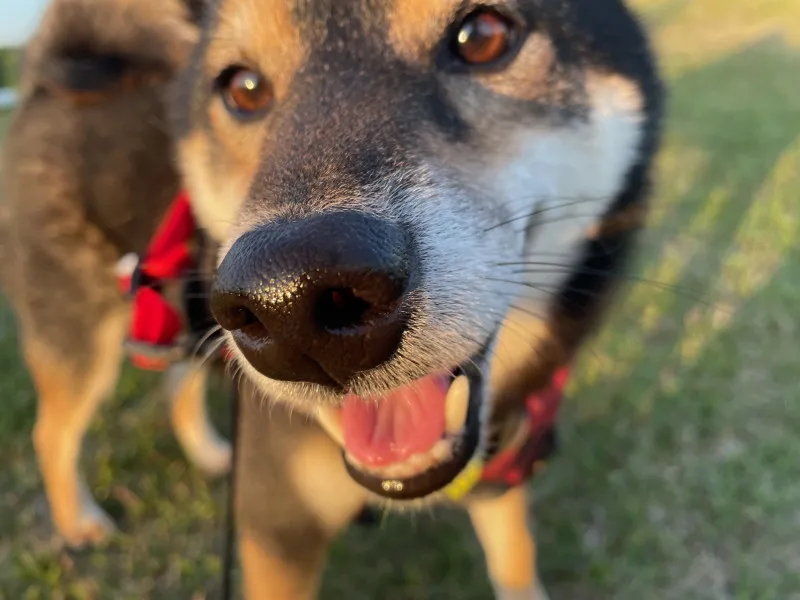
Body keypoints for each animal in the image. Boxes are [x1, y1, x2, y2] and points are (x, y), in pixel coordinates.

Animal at [0, 0, 228, 548]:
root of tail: (46, 89)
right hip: (77, 332)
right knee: (52, 435)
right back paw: (78, 523)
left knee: (178, 392)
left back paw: (210, 456)